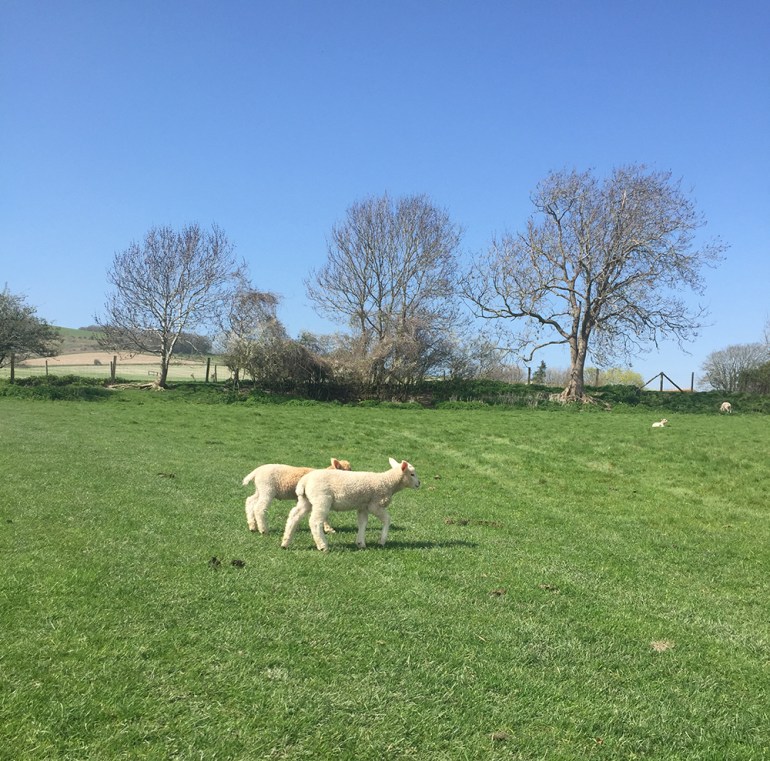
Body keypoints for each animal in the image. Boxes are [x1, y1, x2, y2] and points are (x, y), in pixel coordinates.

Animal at [281, 457, 421, 551]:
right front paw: (382, 541)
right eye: (412, 474)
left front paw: (360, 543)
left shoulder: (363, 506)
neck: (387, 482)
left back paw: (285, 542)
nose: (419, 483)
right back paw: (323, 546)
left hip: (306, 500)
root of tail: (304, 481)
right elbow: (387, 519)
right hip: (321, 499)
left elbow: (363, 523)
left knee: (294, 516)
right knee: (315, 522)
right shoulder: (375, 504)